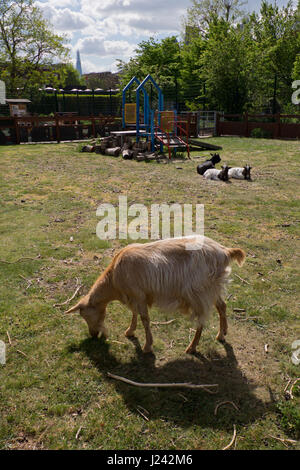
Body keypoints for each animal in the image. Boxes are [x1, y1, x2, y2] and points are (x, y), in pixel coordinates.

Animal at [65, 237, 246, 354]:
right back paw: (222, 334)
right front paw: (130, 331)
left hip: (199, 292)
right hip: (213, 288)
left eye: (85, 315)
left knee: (202, 320)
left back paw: (192, 347)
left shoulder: (138, 294)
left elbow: (145, 319)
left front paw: (147, 346)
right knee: (222, 306)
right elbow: (134, 313)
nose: (93, 335)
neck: (114, 279)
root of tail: (225, 251)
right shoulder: (136, 296)